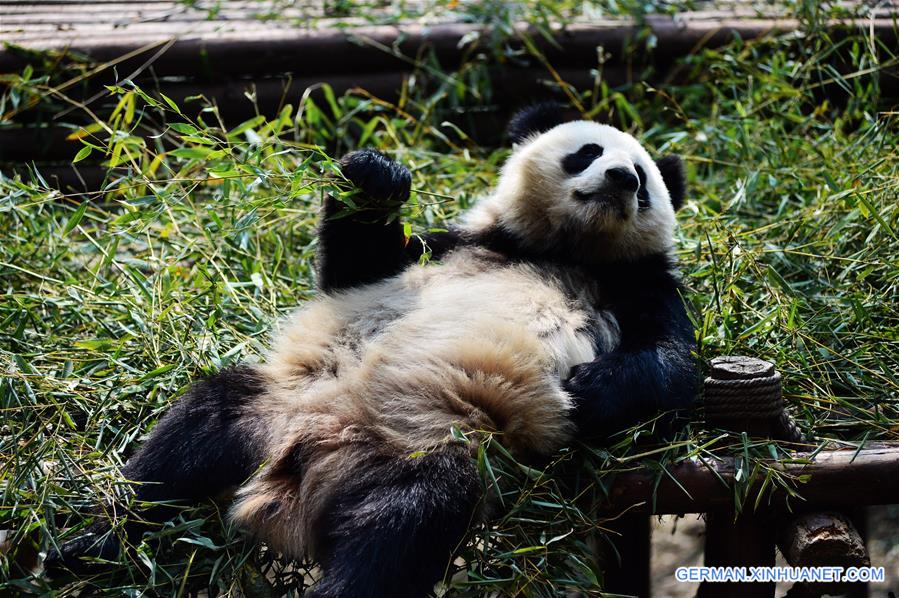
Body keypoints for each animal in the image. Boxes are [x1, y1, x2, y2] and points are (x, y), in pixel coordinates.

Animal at [45, 104, 700, 598]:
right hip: (277, 405)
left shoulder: (639, 283)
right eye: (587, 152)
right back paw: (91, 545)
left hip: (427, 447)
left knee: (404, 525)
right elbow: (355, 268)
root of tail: (300, 469)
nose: (622, 181)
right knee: (192, 436)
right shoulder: (456, 244)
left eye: (643, 177)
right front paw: (376, 174)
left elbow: (673, 364)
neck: (563, 248)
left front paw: (590, 388)